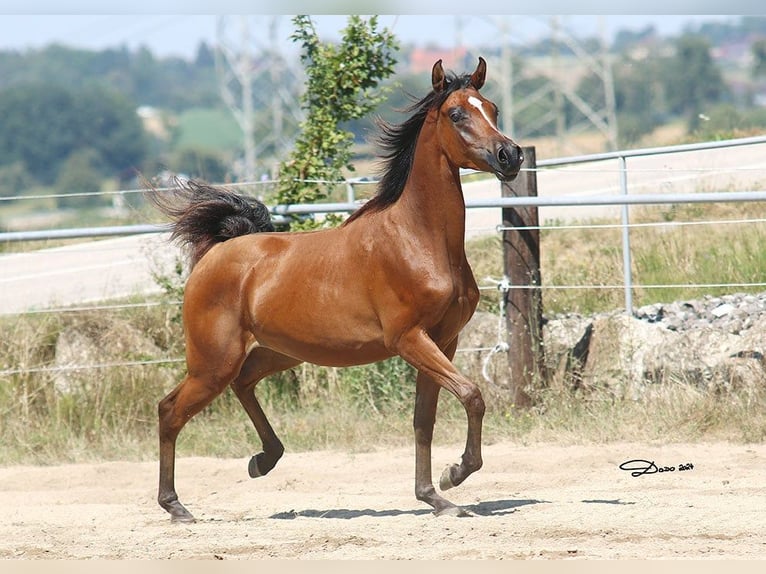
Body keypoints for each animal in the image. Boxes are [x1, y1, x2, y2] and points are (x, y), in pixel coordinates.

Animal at [152, 57, 520, 520]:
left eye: (492, 108)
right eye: (457, 114)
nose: (511, 155)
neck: (419, 240)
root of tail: (214, 254)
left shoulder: (443, 341)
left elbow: (424, 419)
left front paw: (435, 497)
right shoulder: (410, 339)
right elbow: (472, 395)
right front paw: (454, 474)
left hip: (278, 352)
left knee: (244, 384)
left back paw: (263, 460)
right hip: (212, 363)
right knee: (170, 411)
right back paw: (176, 506)